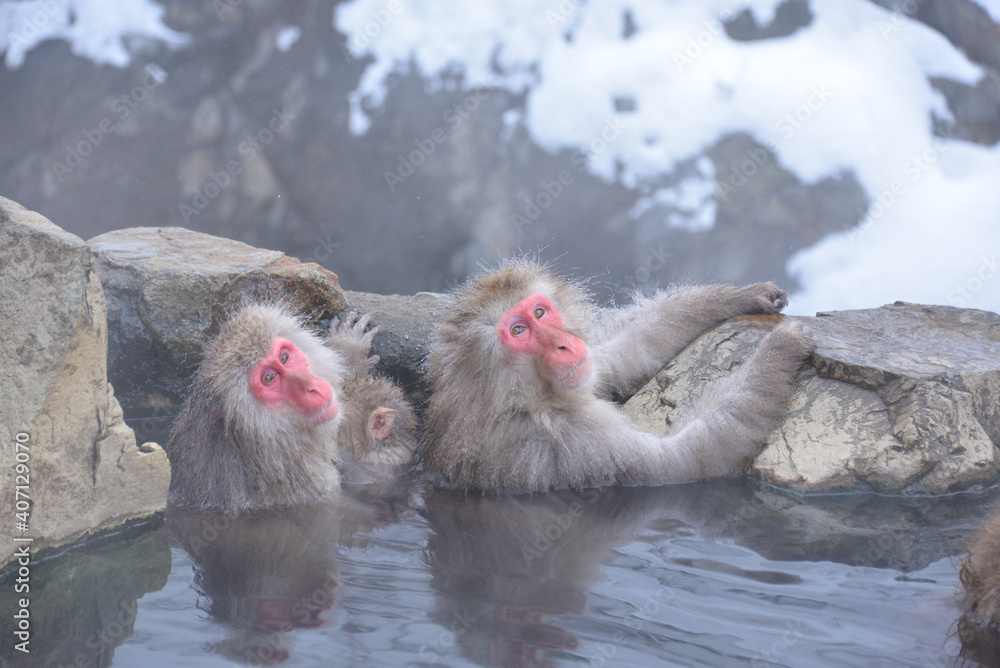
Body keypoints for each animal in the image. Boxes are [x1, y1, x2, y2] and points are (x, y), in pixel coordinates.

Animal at [422, 258, 815, 493]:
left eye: (539, 313)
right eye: (518, 331)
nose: (565, 344)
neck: (512, 398)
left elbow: (618, 352)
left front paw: (745, 296)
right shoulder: (569, 438)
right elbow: (678, 461)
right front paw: (779, 349)